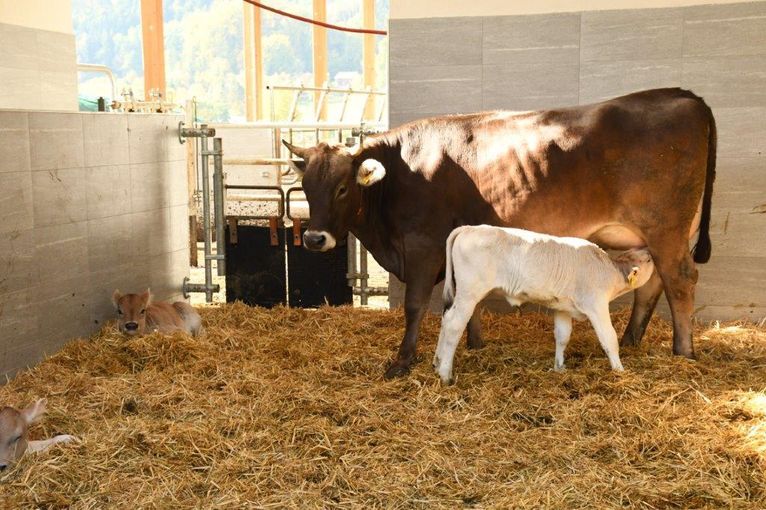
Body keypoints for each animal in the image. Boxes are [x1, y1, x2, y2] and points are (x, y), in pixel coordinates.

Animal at [436, 225, 656, 384]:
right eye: (647, 260)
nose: (650, 251)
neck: (608, 270)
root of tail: (470, 228)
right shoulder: (596, 304)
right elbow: (609, 338)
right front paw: (620, 371)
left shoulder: (563, 307)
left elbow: (562, 336)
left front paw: (559, 368)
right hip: (469, 293)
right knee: (454, 325)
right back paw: (446, 375)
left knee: (446, 320)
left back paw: (437, 363)